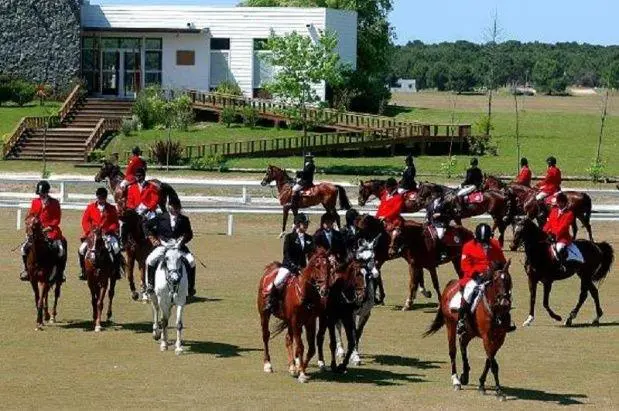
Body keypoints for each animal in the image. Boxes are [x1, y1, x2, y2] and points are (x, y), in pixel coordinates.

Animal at [258, 249, 334, 384]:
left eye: (330, 266)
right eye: (317, 266)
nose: (325, 290)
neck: (305, 293)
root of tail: (270, 271)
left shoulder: (310, 322)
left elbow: (311, 348)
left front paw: (300, 368)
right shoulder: (295, 321)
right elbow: (300, 347)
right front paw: (302, 374)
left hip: (289, 321)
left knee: (288, 339)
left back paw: (292, 366)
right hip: (264, 314)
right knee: (266, 336)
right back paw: (268, 365)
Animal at [424, 260, 516, 400]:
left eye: (509, 280)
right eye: (495, 280)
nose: (504, 302)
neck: (496, 310)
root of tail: (452, 284)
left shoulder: (500, 338)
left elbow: (489, 360)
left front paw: (481, 384)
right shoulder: (487, 337)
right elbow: (493, 364)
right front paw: (498, 391)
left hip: (470, 331)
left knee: (463, 345)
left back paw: (465, 375)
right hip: (450, 324)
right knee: (453, 351)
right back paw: (456, 380)